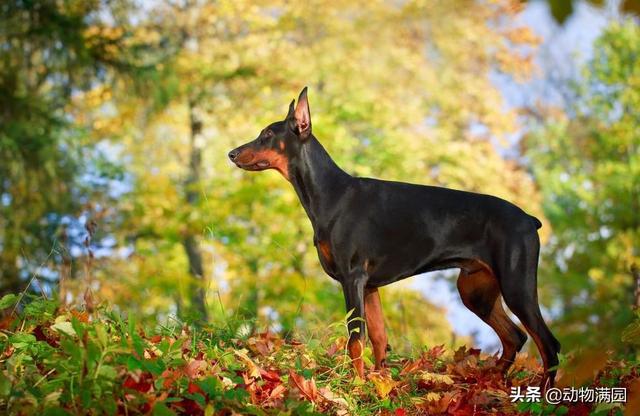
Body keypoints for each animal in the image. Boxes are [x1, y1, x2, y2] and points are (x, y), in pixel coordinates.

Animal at [230, 87, 560, 386]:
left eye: (267, 134)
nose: (231, 153)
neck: (331, 193)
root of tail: (529, 220)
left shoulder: (353, 277)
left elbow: (355, 339)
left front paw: (356, 387)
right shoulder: (370, 286)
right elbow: (378, 337)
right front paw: (379, 383)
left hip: (516, 285)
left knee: (548, 344)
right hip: (475, 290)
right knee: (514, 337)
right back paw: (491, 382)